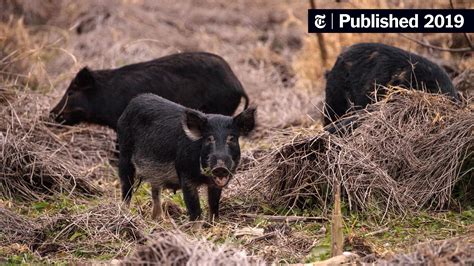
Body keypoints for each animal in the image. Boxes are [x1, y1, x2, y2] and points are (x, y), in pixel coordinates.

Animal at [116, 93, 256, 220]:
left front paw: (213, 223)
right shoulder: (184, 174)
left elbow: (214, 204)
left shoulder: (215, 184)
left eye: (232, 138)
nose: (220, 167)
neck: (203, 177)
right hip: (124, 154)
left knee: (155, 191)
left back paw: (158, 219)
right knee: (126, 188)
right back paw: (125, 214)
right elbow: (194, 208)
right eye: (209, 138)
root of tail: (133, 101)